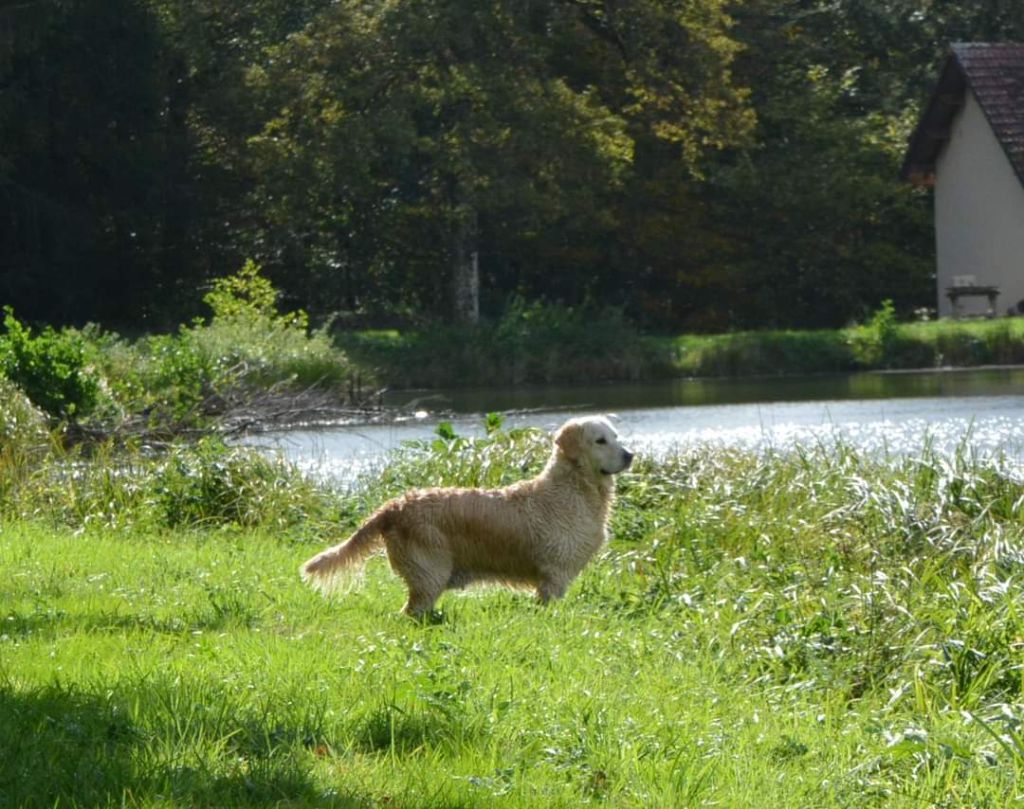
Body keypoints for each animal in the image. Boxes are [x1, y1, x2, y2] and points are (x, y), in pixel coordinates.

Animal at [299, 415, 630, 618]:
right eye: (600, 440)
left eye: (616, 436)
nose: (630, 455)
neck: (575, 488)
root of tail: (394, 506)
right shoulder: (554, 576)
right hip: (430, 573)